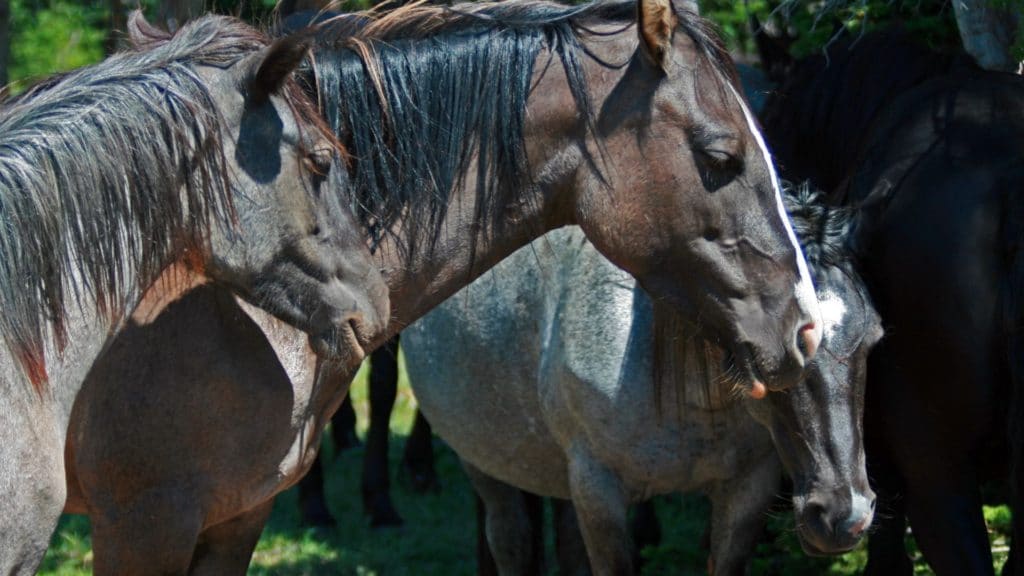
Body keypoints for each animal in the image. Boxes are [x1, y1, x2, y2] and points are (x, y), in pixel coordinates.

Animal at [403, 184, 884, 573]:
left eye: (874, 339)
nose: (845, 516)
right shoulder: (599, 494)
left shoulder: (749, 489)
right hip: (484, 460)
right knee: (511, 541)